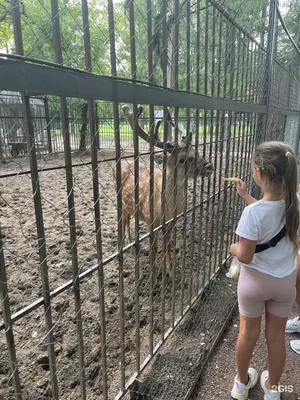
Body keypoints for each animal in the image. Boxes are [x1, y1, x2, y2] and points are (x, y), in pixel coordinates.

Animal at [112, 104, 213, 272]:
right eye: (182, 159)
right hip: (120, 198)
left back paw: (131, 243)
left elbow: (168, 244)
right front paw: (154, 269)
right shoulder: (150, 220)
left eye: (197, 152)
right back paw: (128, 244)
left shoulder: (172, 221)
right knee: (123, 219)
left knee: (127, 218)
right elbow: (154, 247)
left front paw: (170, 269)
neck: (168, 207)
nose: (209, 166)